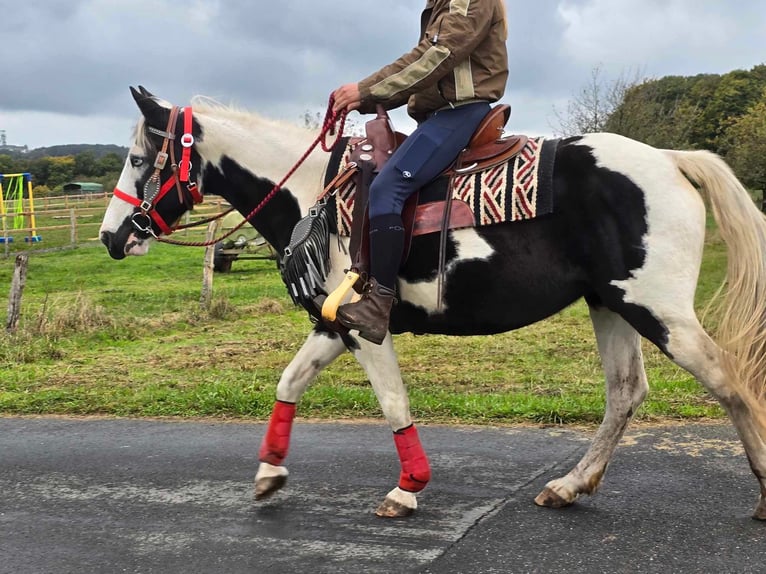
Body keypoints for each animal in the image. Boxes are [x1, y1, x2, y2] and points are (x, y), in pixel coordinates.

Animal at [99, 89, 766, 520]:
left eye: (138, 158)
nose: (110, 237)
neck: (316, 193)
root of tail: (671, 161)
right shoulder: (333, 325)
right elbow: (290, 381)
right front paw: (269, 473)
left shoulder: (365, 328)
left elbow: (393, 401)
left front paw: (407, 489)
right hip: (612, 305)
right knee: (625, 392)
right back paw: (570, 486)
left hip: (659, 311)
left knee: (727, 380)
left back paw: (759, 495)